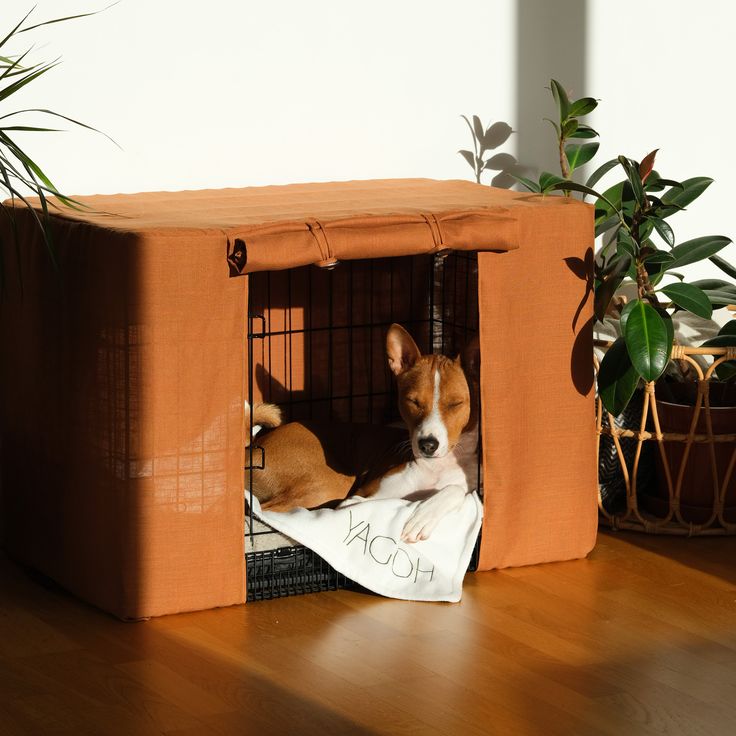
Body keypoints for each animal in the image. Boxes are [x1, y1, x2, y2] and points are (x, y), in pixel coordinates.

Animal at [244, 324, 480, 544]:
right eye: (413, 401)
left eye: (455, 404)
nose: (428, 445)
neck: (435, 469)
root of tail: (254, 446)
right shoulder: (362, 497)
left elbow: (456, 490)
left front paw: (422, 517)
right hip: (333, 482)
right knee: (262, 511)